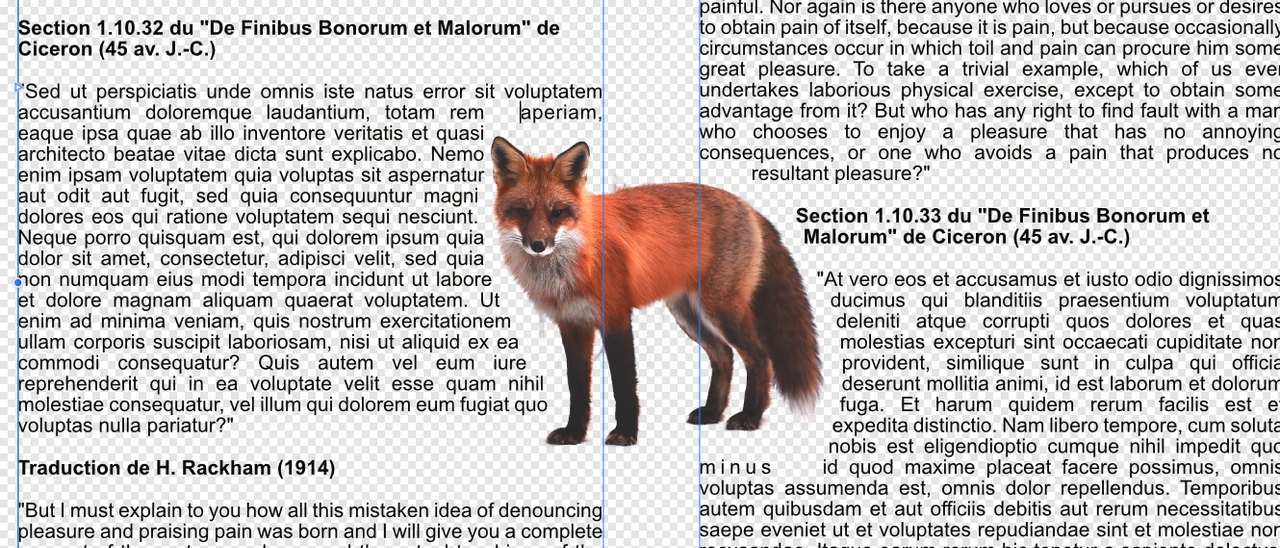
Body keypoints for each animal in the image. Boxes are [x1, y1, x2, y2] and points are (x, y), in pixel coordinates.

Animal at [490, 137, 819, 446]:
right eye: (521, 211)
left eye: (557, 212)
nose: (538, 245)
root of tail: (747, 205)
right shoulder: (573, 325)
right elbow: (577, 388)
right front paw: (574, 433)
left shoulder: (616, 317)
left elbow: (624, 385)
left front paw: (625, 433)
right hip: (688, 314)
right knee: (724, 356)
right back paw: (713, 412)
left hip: (722, 310)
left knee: (760, 358)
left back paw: (750, 416)